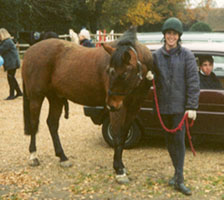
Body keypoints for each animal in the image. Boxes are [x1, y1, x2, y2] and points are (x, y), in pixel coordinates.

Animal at [21, 27, 153, 184]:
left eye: (124, 74)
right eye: (108, 71)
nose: (110, 105)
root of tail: (30, 51)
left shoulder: (134, 107)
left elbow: (123, 135)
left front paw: (121, 167)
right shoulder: (119, 110)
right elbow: (117, 136)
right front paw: (119, 170)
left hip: (56, 98)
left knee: (52, 124)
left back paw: (62, 157)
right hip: (36, 97)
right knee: (34, 124)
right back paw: (33, 156)